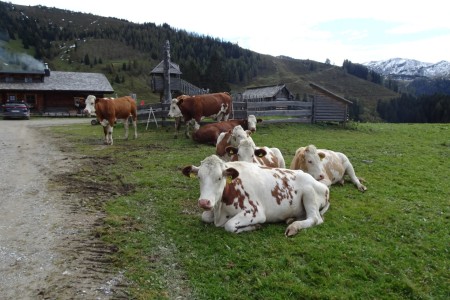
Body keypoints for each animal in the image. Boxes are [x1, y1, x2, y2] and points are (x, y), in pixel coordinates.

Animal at [183, 155, 330, 237]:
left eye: (219, 178)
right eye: (199, 177)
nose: (204, 202)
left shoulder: (255, 212)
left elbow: (229, 225)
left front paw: (255, 226)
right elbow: (204, 217)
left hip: (309, 193)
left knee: (315, 219)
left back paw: (294, 227)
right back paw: (290, 219)